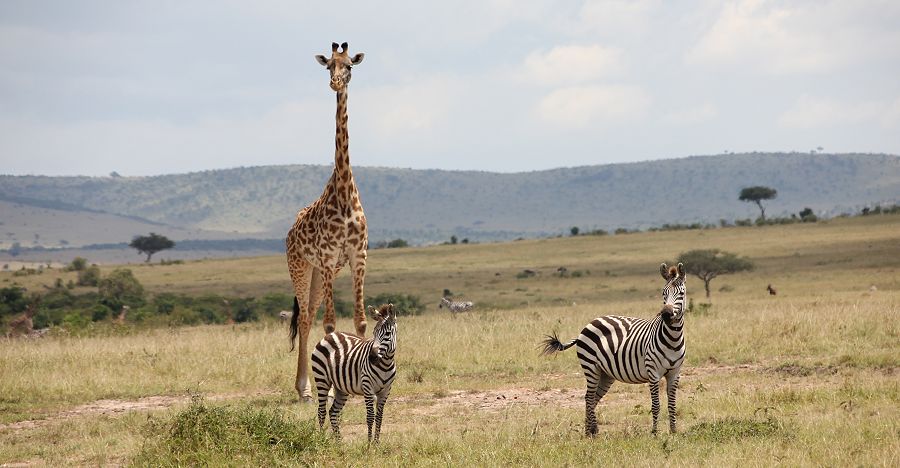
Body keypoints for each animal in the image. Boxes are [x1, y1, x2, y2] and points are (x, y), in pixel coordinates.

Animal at [312, 304, 396, 442]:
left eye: (388, 334)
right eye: (374, 333)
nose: (372, 357)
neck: (385, 364)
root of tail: (331, 334)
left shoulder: (386, 391)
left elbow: (379, 417)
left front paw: (377, 442)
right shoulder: (368, 388)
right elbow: (370, 416)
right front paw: (369, 443)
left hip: (341, 387)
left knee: (333, 412)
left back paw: (339, 442)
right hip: (321, 379)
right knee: (321, 411)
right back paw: (321, 439)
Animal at [540, 264, 688, 436]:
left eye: (681, 293)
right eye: (663, 293)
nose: (666, 314)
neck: (672, 339)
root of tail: (589, 323)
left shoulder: (675, 373)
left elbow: (672, 404)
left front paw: (673, 431)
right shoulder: (653, 373)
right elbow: (656, 405)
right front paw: (655, 433)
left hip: (605, 374)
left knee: (592, 398)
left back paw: (589, 431)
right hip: (590, 367)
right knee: (589, 397)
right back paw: (593, 431)